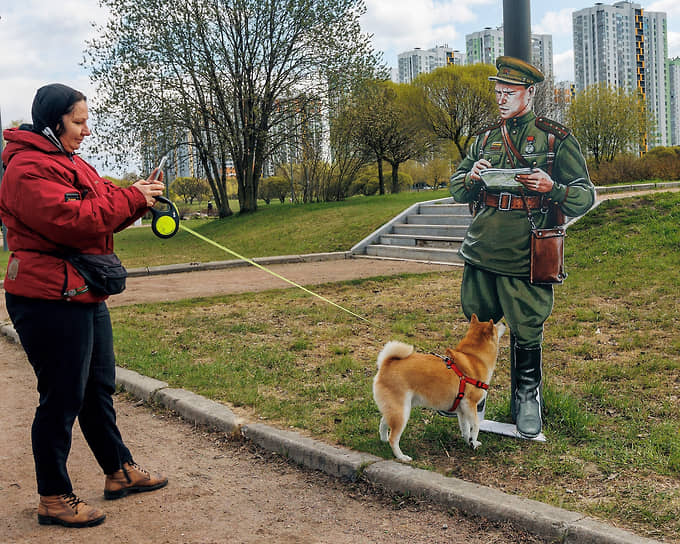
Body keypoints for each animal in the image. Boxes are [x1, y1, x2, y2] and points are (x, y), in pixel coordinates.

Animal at [372, 316, 504, 462]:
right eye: (496, 325)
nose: (503, 322)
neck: (474, 357)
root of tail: (386, 364)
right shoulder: (470, 404)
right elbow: (475, 426)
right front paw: (473, 443)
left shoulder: (462, 410)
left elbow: (465, 429)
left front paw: (468, 442)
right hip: (402, 412)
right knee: (393, 438)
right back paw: (401, 456)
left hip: (396, 409)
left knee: (383, 423)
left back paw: (383, 441)